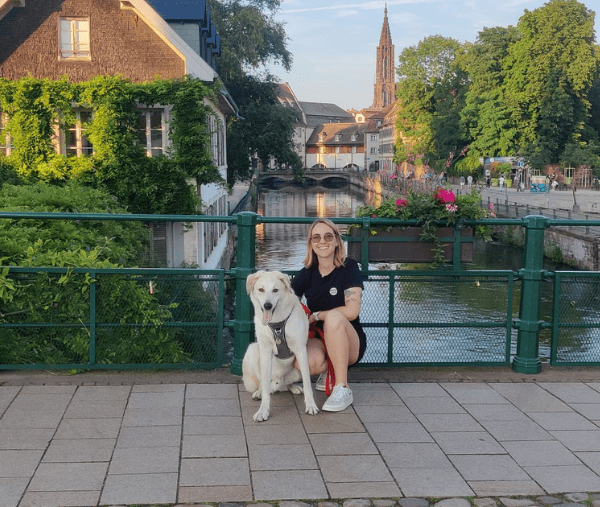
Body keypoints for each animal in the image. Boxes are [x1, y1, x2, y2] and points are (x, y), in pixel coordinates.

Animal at [243, 272, 322, 422]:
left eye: (275, 290)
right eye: (261, 289)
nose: (267, 305)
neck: (277, 322)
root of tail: (280, 383)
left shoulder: (301, 350)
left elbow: (308, 384)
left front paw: (311, 406)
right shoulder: (265, 350)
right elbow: (265, 388)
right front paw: (263, 411)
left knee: (287, 384)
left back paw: (293, 387)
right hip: (253, 351)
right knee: (264, 383)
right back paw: (259, 392)